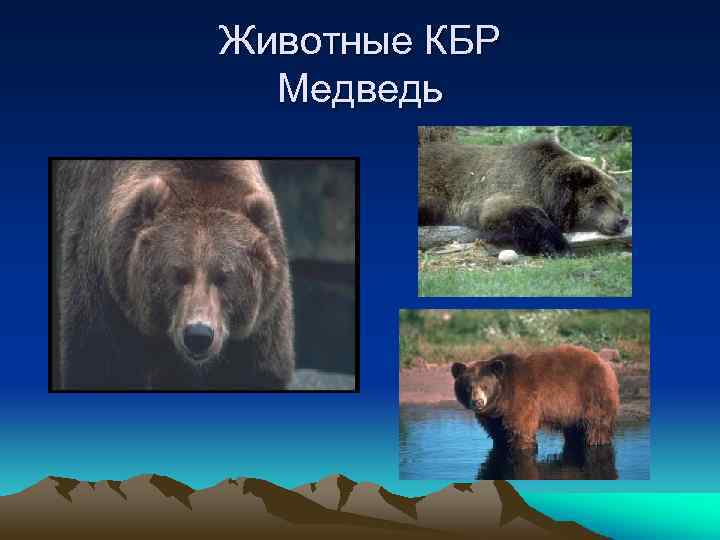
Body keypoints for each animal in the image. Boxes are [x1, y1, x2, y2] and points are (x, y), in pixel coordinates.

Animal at [53, 159, 294, 390]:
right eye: (178, 274)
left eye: (223, 276)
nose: (198, 335)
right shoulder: (104, 292)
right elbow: (101, 365)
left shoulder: (260, 322)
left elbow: (257, 370)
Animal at [418, 139, 630, 255]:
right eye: (601, 199)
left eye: (618, 203)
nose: (622, 220)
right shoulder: (507, 188)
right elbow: (523, 216)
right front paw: (560, 248)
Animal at [451, 345, 619, 452]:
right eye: (468, 387)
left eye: (485, 386)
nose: (477, 402)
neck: (502, 400)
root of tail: (603, 361)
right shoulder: (494, 416)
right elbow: (497, 433)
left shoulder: (521, 399)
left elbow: (521, 428)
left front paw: (521, 446)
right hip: (573, 409)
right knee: (575, 428)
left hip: (592, 393)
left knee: (596, 424)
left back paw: (596, 441)